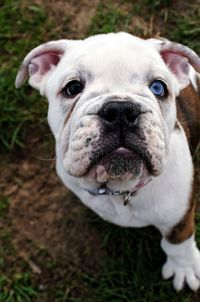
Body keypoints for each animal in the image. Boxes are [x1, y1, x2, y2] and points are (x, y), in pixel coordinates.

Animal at [16, 32, 200, 290]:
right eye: (72, 88)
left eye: (158, 87)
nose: (120, 110)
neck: (120, 188)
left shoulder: (179, 216)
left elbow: (178, 243)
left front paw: (185, 268)